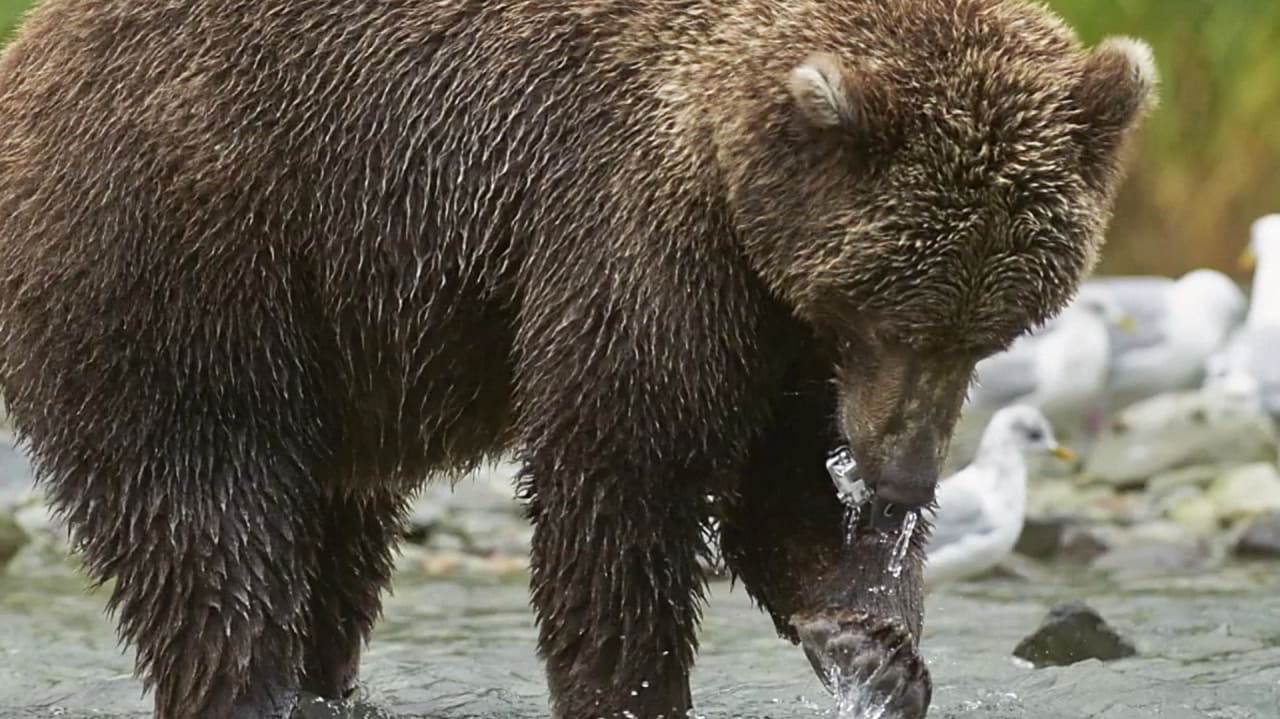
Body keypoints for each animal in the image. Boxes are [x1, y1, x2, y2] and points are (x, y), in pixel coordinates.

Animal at [0, 1, 1152, 716]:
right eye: (891, 313)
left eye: (991, 327)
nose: (904, 479)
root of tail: (34, 49)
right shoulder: (633, 240)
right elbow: (623, 479)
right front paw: (634, 684)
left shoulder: (774, 323)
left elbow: (775, 483)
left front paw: (870, 637)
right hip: (190, 243)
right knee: (205, 499)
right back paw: (245, 676)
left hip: (332, 340)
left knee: (332, 533)